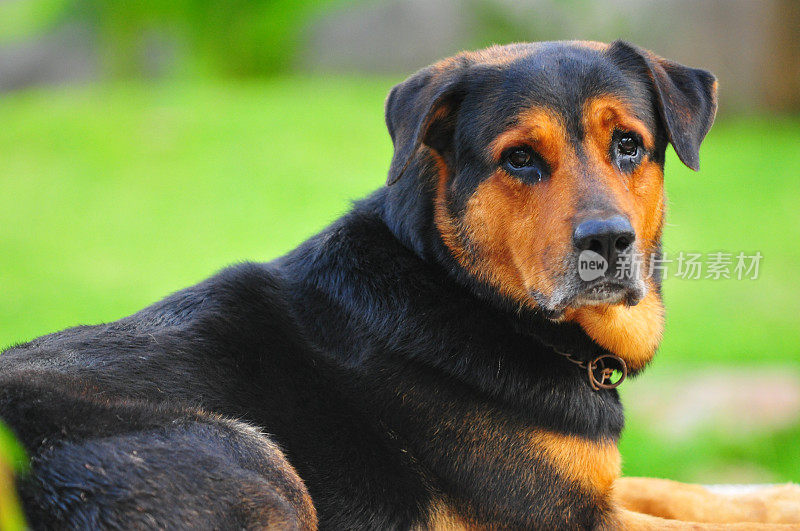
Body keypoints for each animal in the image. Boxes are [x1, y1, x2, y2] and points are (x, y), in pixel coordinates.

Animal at [1, 41, 800, 531]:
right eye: (519, 159)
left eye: (629, 144)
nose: (608, 242)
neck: (473, 296)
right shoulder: (562, 517)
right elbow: (696, 516)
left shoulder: (588, 489)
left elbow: (692, 492)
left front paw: (777, 494)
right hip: (247, 455)